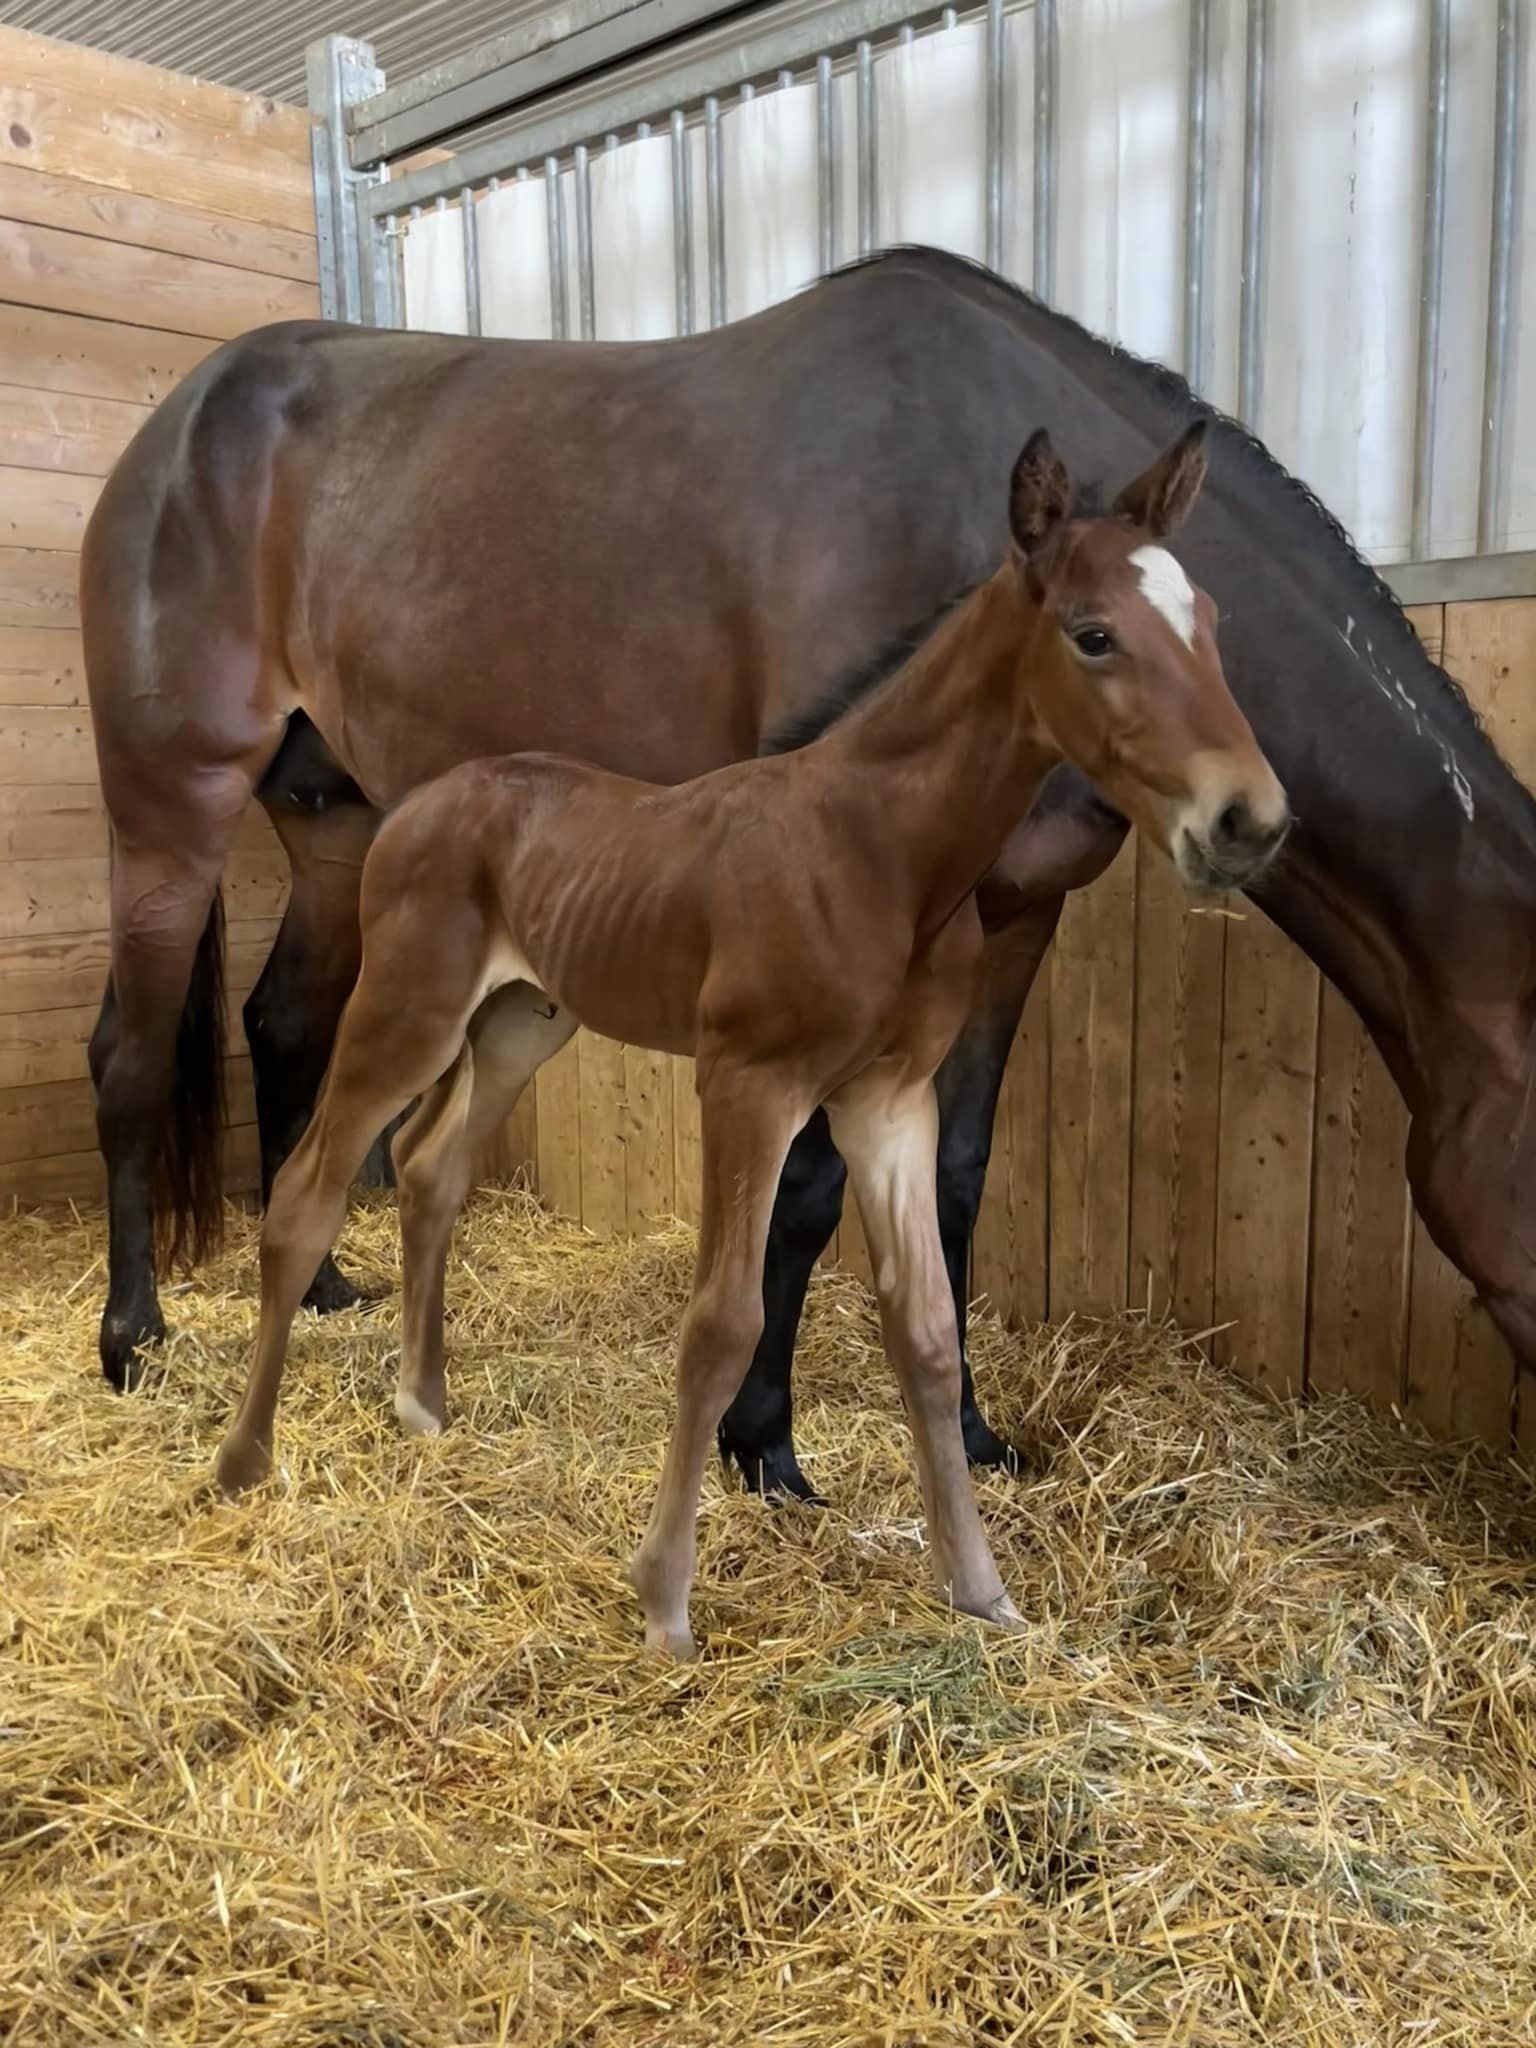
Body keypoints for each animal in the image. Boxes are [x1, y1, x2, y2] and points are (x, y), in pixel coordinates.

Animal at [83, 251, 1536, 1490]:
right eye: (1096, 634)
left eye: (1213, 626)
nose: (1246, 822)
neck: (955, 488)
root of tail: (178, 427)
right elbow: (809, 1186)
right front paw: (761, 1440)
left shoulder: (1008, 917)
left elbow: (952, 1179)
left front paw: (969, 1432)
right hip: (173, 806)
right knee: (132, 1052)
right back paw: (131, 1337)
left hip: (338, 821)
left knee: (287, 1023)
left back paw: (325, 1283)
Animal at [214, 423, 1286, 1654]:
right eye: (1094, 633)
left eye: (1211, 624)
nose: (1249, 820)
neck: (877, 850)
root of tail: (415, 807)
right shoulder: (751, 1082)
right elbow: (724, 1323)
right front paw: (666, 1601)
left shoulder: (888, 1099)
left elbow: (927, 1330)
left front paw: (979, 1588)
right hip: (408, 1012)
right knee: (308, 1192)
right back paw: (243, 1460)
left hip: (518, 1022)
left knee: (432, 1169)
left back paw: (423, 1404)